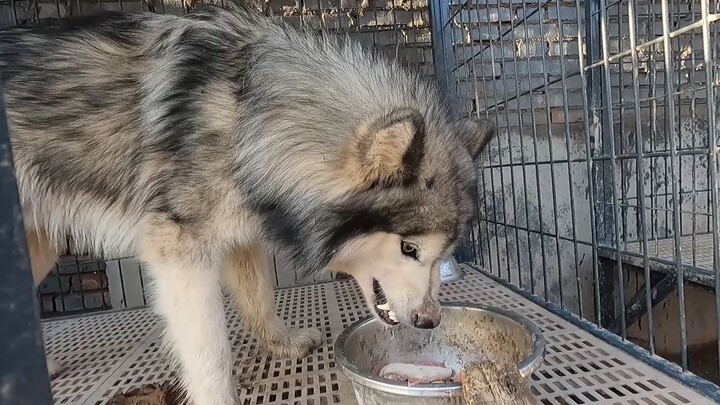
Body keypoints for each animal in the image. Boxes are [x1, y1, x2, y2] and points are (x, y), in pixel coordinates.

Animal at [0, 3, 496, 404]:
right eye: (409, 249)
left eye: (444, 254)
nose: (430, 321)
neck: (246, 120)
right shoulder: (180, 252)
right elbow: (210, 353)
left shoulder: (242, 234)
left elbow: (259, 298)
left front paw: (281, 343)